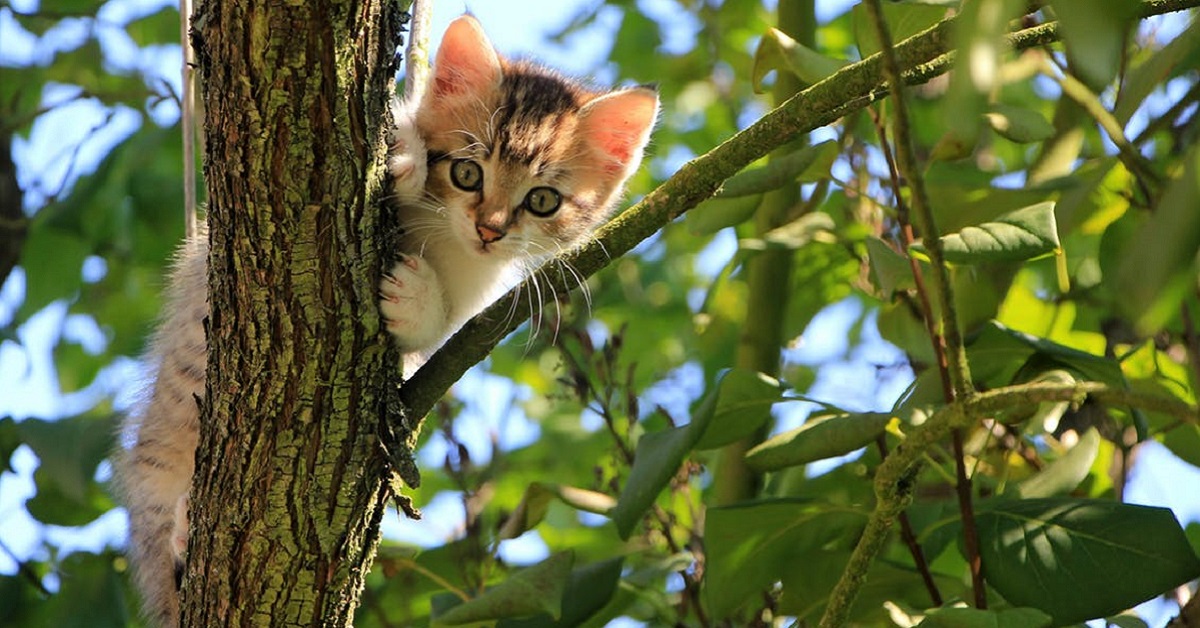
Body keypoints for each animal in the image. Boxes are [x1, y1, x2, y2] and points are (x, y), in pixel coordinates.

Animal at [114, 15, 657, 628]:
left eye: (543, 200)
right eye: (467, 172)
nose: (490, 229)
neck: (444, 237)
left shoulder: (473, 297)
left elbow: (436, 329)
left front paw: (416, 297)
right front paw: (403, 154)